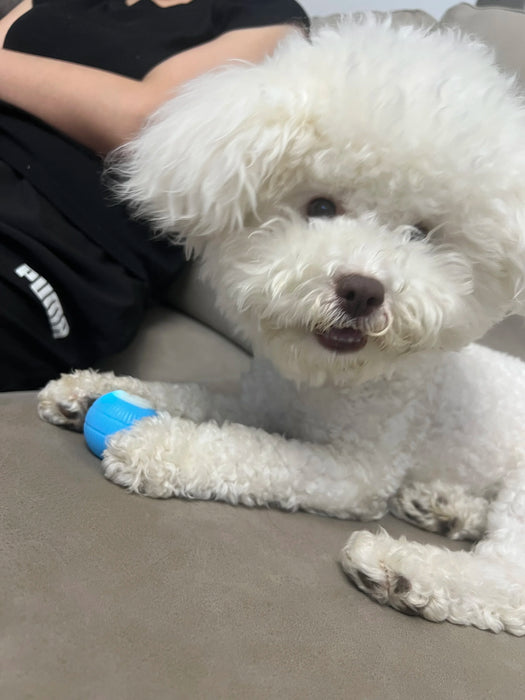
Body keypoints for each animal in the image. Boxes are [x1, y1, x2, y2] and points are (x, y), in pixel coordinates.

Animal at [39, 20, 524, 636]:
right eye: (320, 206)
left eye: (421, 234)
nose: (363, 290)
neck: (323, 382)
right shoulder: (258, 400)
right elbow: (189, 395)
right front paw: (88, 390)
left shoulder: (354, 469)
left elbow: (252, 451)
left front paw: (157, 443)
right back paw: (444, 507)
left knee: (509, 576)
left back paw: (404, 569)